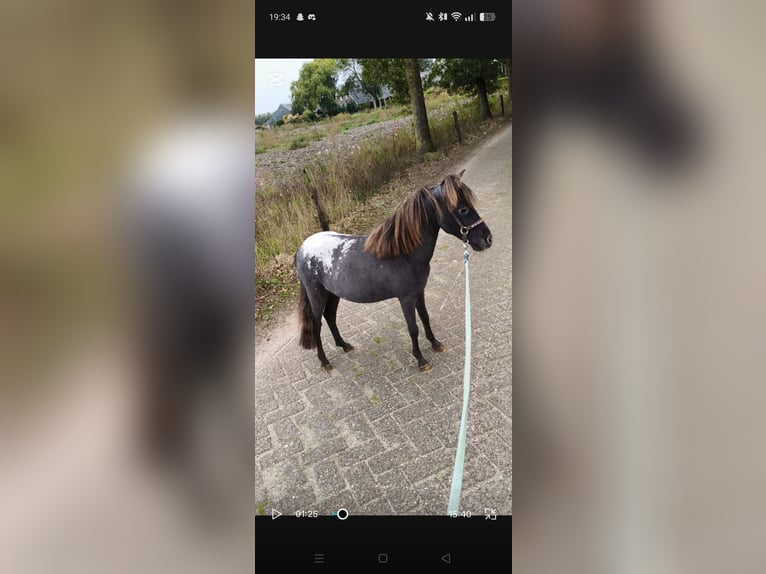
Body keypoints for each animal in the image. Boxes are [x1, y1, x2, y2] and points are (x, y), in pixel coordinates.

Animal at [294, 170, 493, 372]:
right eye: (463, 209)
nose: (487, 239)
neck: (402, 254)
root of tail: (302, 249)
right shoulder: (405, 299)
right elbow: (413, 328)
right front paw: (421, 360)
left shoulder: (419, 293)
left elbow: (425, 318)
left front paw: (436, 344)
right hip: (317, 297)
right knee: (317, 324)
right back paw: (324, 361)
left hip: (333, 294)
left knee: (330, 317)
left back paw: (344, 345)